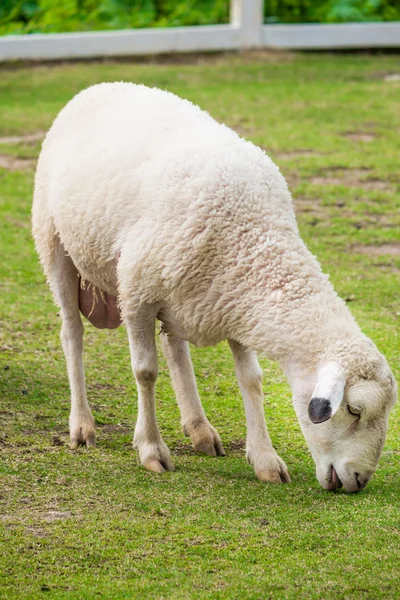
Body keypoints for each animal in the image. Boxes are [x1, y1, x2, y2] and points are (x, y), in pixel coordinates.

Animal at [32, 81, 396, 492]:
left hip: (179, 293)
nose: (360, 480)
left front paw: (265, 459)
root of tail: (100, 86)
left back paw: (199, 429)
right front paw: (150, 449)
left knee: (175, 348)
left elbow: (251, 379)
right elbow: (145, 372)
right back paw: (82, 424)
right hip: (54, 243)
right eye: (353, 409)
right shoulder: (138, 293)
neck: (252, 236)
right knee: (72, 334)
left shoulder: (235, 301)